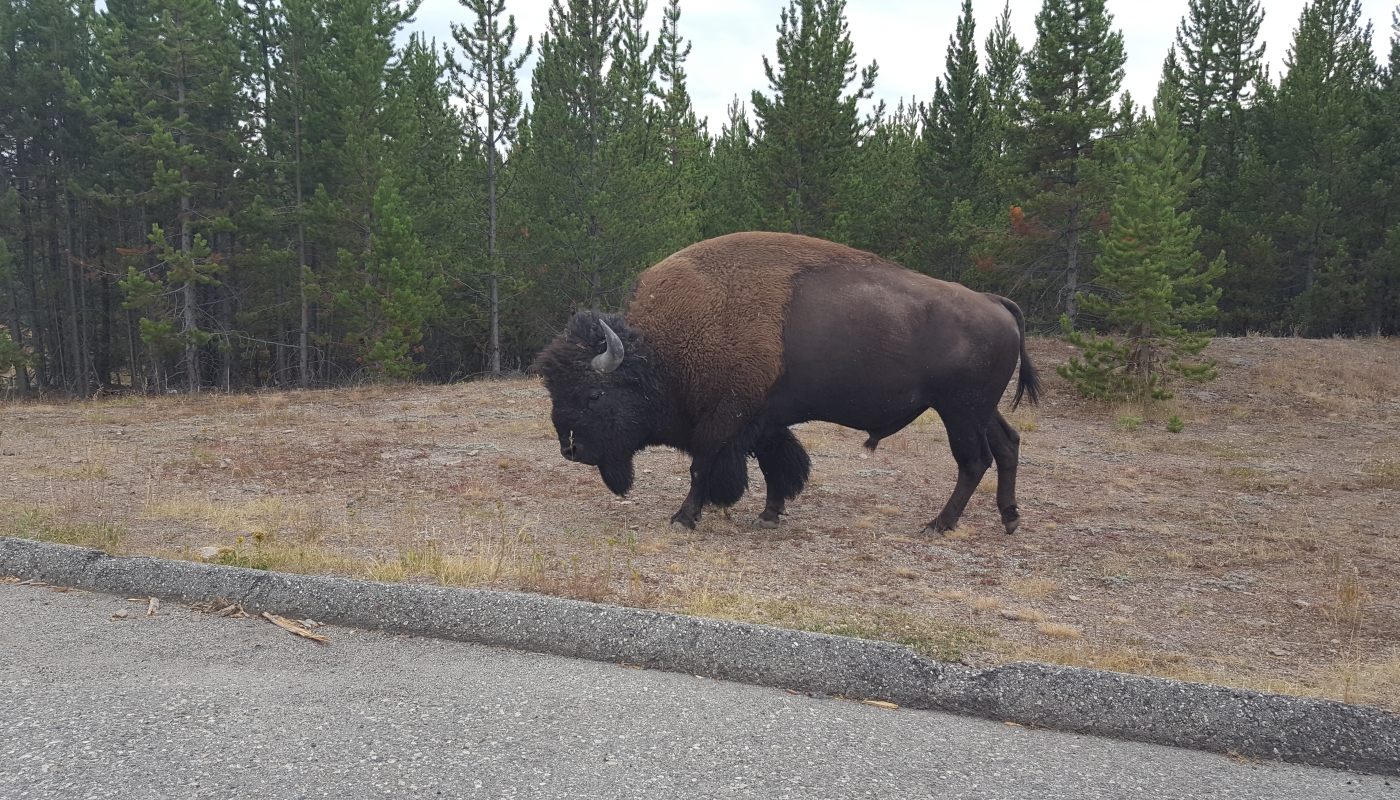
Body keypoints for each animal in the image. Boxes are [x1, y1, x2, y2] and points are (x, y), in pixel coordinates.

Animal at [529, 235, 1036, 540]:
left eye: (593, 395)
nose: (570, 450)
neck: (659, 352)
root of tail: (993, 301)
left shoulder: (726, 419)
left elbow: (702, 468)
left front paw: (683, 518)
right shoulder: (764, 422)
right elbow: (777, 466)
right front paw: (769, 514)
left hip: (959, 411)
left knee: (973, 461)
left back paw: (938, 525)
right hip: (979, 410)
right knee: (1007, 444)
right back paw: (1009, 518)